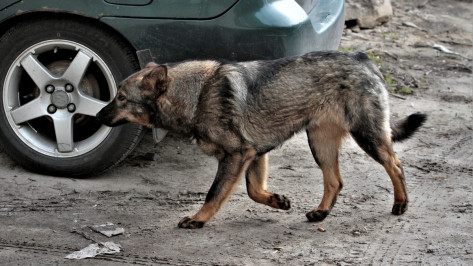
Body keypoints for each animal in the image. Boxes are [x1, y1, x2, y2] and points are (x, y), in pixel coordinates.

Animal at [96, 51, 424, 229]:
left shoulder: (238, 155)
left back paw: (401, 203)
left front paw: (198, 219)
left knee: (395, 164)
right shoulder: (255, 154)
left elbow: (214, 193)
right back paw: (321, 212)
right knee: (335, 180)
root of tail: (362, 58)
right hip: (320, 143)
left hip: (367, 136)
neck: (197, 94)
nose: (98, 114)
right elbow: (254, 190)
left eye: (121, 98)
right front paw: (276, 201)